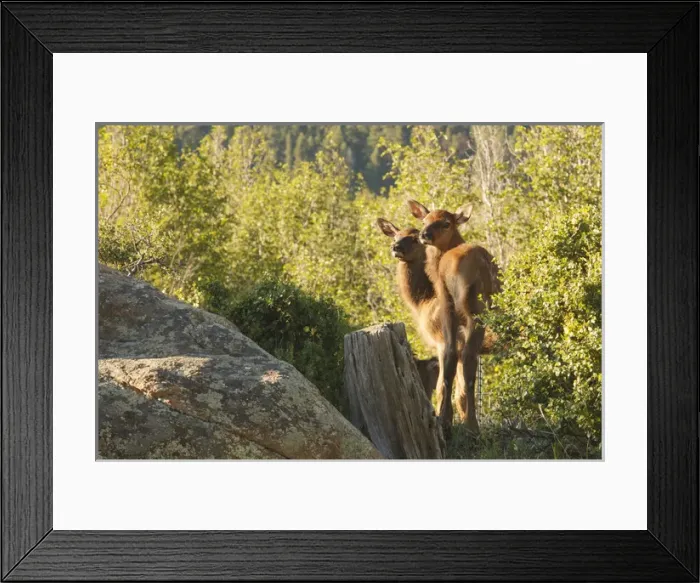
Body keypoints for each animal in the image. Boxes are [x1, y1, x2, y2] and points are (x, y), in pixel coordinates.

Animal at [376, 218, 495, 421]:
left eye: (415, 238)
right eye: (396, 235)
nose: (396, 247)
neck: (424, 302)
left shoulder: (442, 340)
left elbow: (446, 388)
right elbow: (460, 393)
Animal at [405, 200, 501, 437]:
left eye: (446, 223)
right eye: (425, 220)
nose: (424, 234)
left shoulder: (444, 299)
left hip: (464, 306)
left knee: (462, 357)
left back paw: (463, 424)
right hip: (478, 307)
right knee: (467, 358)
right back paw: (468, 424)